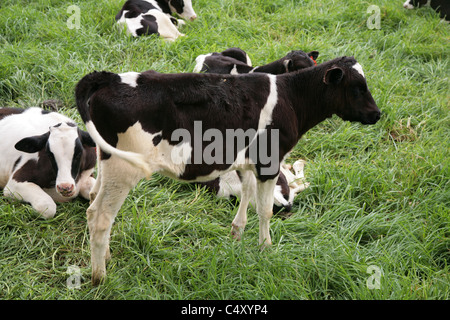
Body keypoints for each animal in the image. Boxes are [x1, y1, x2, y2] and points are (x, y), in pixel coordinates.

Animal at [75, 56, 382, 284]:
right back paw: (100, 276)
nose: (377, 114)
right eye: (358, 87)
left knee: (93, 204)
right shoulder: (269, 161)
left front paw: (236, 234)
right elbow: (266, 209)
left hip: (107, 160)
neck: (291, 98)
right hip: (124, 167)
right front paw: (266, 249)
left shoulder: (245, 160)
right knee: (101, 217)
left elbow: (247, 193)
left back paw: (106, 257)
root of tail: (109, 78)